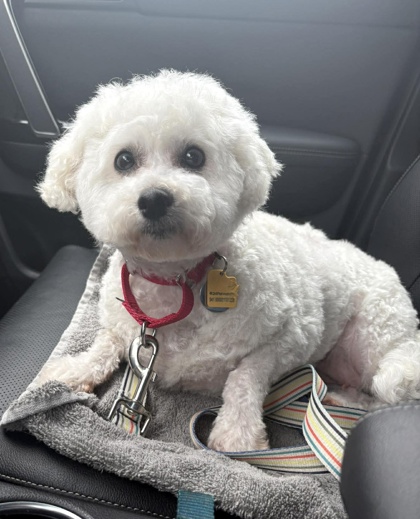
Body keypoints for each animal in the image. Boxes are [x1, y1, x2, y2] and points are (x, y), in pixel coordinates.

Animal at [36, 70, 420, 452]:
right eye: (124, 160)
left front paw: (238, 431)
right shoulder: (124, 325)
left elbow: (246, 374)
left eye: (193, 156)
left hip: (374, 335)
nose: (155, 199)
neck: (173, 281)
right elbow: (105, 343)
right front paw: (72, 370)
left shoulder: (292, 336)